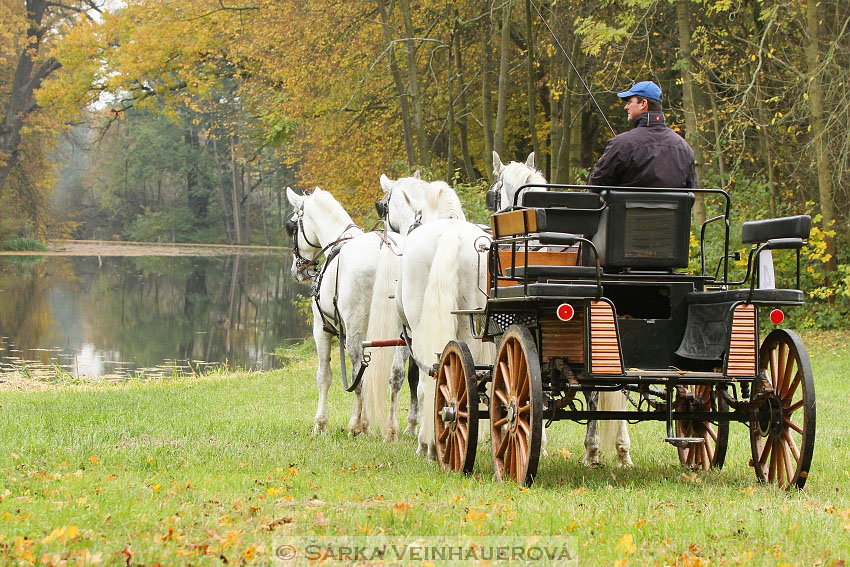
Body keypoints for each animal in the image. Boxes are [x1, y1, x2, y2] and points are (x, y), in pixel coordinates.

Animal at [284, 186, 404, 440]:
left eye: (292, 226)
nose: (298, 270)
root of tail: (385, 247)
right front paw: (368, 425)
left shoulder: (322, 329)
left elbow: (324, 376)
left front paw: (321, 424)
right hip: (403, 333)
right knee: (396, 375)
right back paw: (390, 429)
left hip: (355, 333)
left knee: (359, 376)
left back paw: (355, 426)